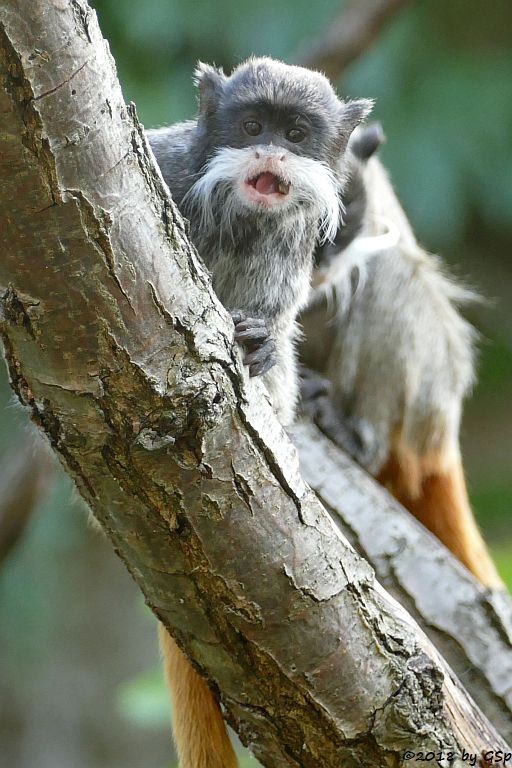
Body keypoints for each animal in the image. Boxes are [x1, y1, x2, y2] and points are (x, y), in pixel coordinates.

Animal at [146, 58, 370, 768]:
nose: (270, 151)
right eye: (251, 126)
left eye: (294, 134)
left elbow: (275, 334)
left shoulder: (293, 249)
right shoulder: (168, 170)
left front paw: (262, 344)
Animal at [302, 123, 502, 588]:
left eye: (335, 227)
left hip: (426, 404)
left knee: (390, 271)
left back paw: (358, 442)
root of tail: (442, 439)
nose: (318, 259)